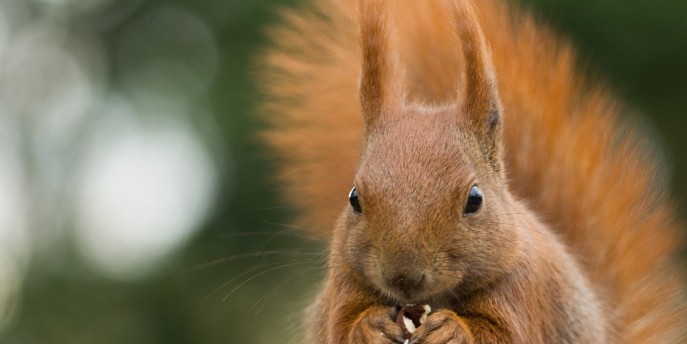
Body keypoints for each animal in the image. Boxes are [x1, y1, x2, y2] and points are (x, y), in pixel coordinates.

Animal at [258, 0, 687, 342]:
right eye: (354, 199)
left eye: (475, 200)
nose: (403, 278)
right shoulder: (345, 284)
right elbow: (341, 326)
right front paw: (368, 326)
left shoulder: (522, 291)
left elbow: (503, 335)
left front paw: (452, 329)